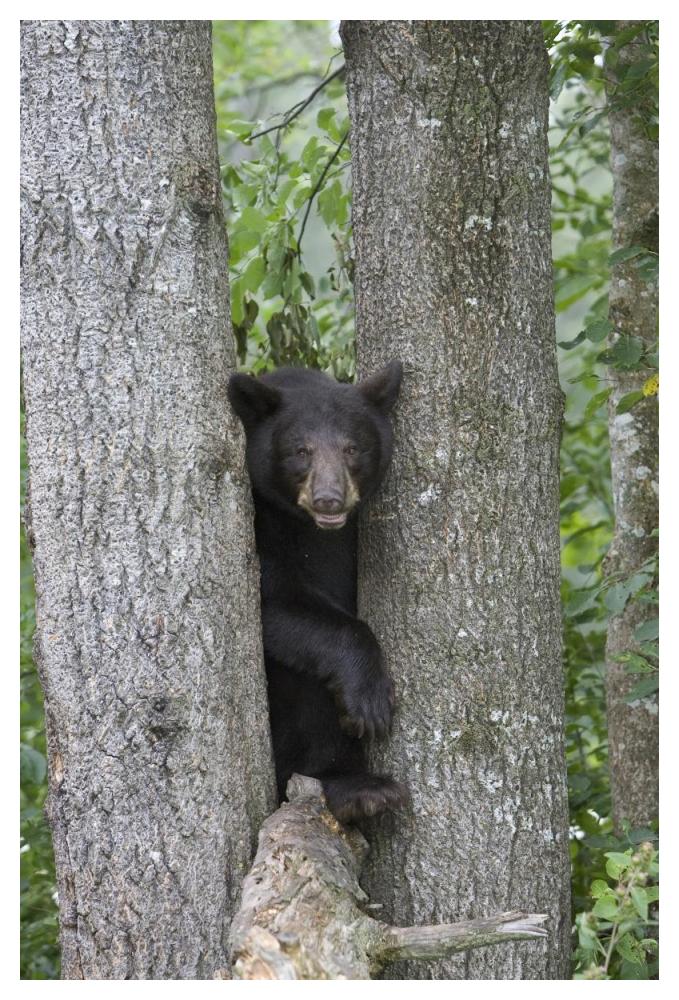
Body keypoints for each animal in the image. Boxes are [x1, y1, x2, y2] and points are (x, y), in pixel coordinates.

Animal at [228, 362, 408, 823]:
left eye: (352, 448)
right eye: (301, 450)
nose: (329, 499)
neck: (313, 529)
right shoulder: (260, 523)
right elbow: (275, 599)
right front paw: (370, 697)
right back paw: (353, 788)